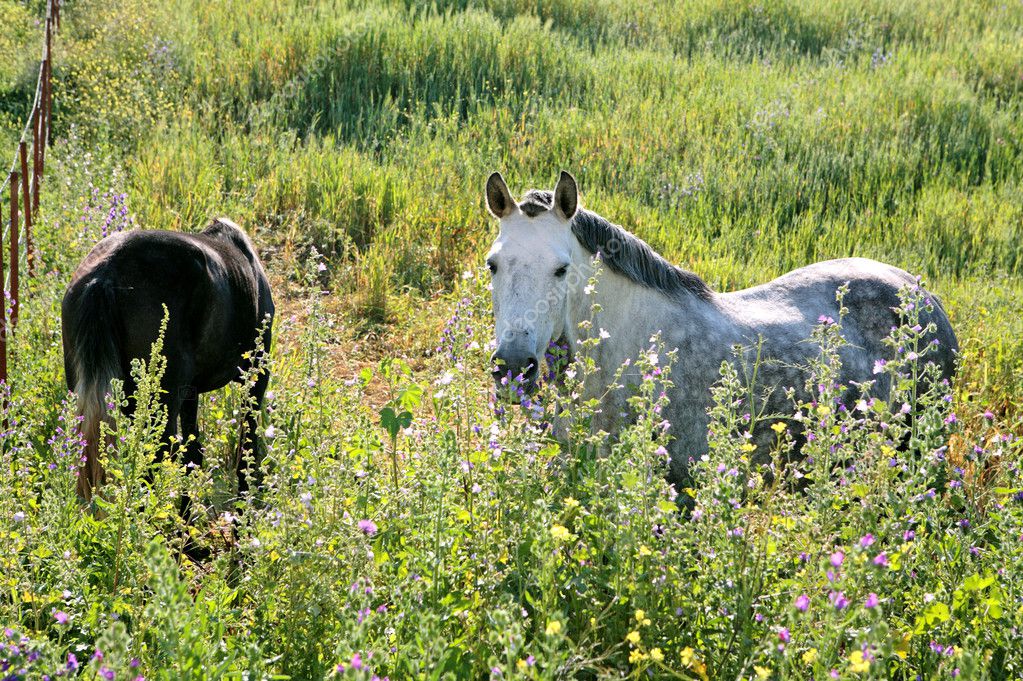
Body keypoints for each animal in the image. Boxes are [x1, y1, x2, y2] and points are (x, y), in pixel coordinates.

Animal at [61, 217, 274, 498]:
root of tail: (106, 273)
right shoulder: (256, 374)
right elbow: (246, 447)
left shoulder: (191, 390)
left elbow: (193, 454)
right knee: (152, 463)